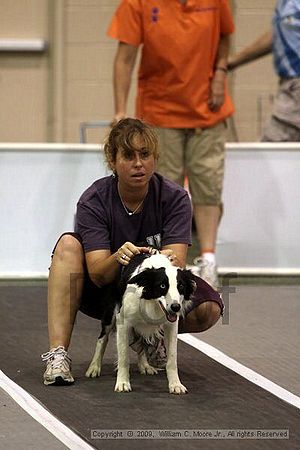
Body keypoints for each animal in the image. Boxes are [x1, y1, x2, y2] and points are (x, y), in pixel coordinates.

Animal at [85, 251, 196, 396]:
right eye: (162, 286)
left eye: (181, 286)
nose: (175, 307)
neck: (151, 301)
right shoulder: (123, 322)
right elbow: (123, 357)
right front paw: (122, 383)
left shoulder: (171, 325)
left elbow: (172, 358)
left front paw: (175, 385)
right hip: (110, 313)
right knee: (102, 338)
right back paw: (94, 367)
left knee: (142, 342)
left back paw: (145, 365)